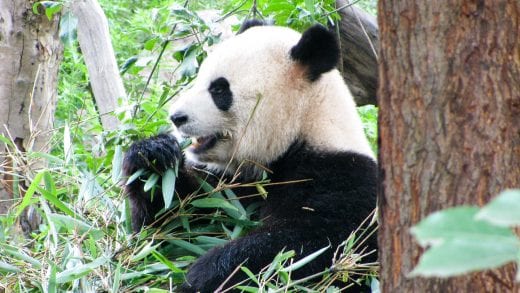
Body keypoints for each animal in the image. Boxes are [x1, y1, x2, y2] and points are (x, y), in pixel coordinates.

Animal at [126, 21, 378, 292]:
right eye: (199, 79)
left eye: (219, 89)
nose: (176, 117)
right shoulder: (227, 184)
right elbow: (168, 228)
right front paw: (153, 156)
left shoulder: (342, 180)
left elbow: (312, 247)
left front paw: (203, 274)